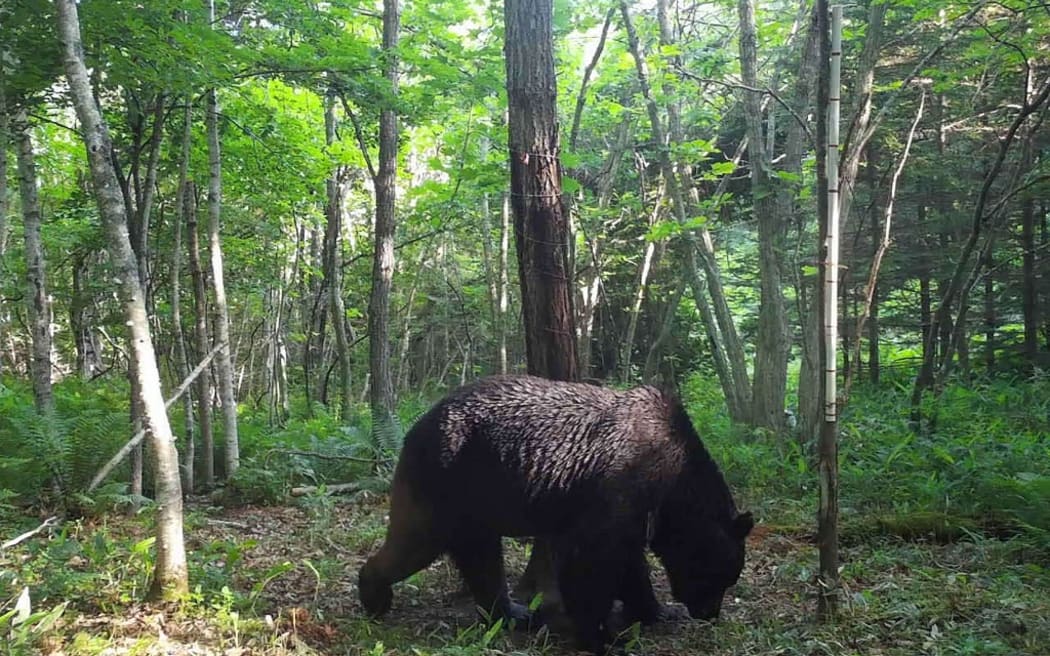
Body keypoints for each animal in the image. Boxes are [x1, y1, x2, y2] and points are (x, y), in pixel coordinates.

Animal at [356, 375, 751, 650]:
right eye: (721, 577)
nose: (709, 613)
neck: (673, 483)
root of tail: (416, 425)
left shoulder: (633, 512)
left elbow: (629, 563)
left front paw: (655, 610)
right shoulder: (620, 486)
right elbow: (591, 561)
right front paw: (603, 637)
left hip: (476, 500)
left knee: (480, 557)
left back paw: (513, 613)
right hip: (447, 479)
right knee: (417, 542)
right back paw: (374, 594)